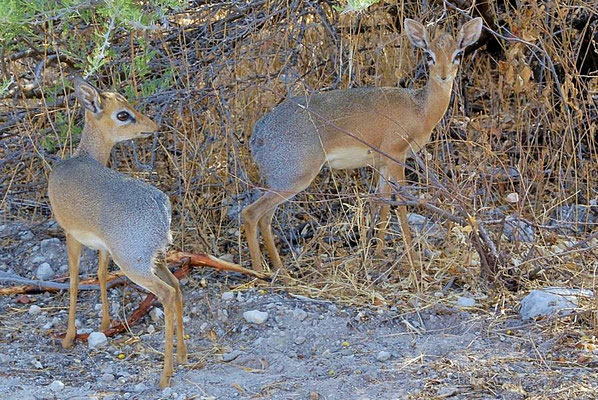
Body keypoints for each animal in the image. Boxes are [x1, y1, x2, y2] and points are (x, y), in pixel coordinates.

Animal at [47, 76, 188, 386]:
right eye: (123, 114)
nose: (152, 125)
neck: (83, 157)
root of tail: (162, 207)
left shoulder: (70, 234)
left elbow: (74, 282)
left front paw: (68, 338)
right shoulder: (101, 245)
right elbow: (100, 275)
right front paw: (104, 324)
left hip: (132, 262)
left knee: (166, 294)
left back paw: (165, 376)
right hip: (154, 258)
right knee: (177, 286)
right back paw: (183, 356)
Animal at [244, 17, 482, 274]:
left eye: (457, 54)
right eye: (429, 55)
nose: (444, 76)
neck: (420, 110)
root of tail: (258, 133)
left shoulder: (382, 163)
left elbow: (383, 204)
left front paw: (378, 253)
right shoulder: (396, 156)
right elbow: (402, 205)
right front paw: (412, 259)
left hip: (282, 182)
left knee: (265, 217)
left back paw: (281, 271)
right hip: (294, 178)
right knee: (251, 213)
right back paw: (259, 272)